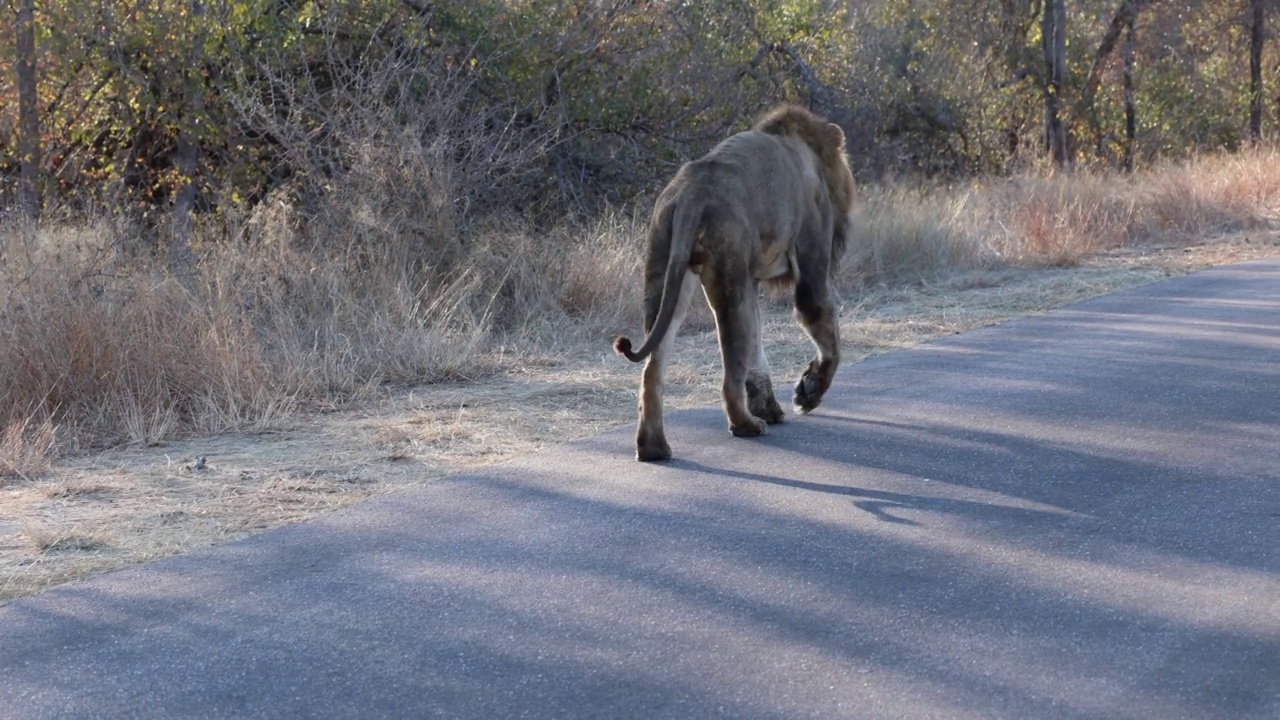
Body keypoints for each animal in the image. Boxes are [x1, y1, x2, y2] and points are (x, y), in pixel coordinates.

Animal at [611, 104, 855, 458]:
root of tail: (693, 192)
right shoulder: (811, 257)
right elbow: (824, 331)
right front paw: (807, 393)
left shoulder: (751, 279)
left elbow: (758, 347)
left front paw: (770, 406)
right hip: (729, 280)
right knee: (729, 375)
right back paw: (746, 426)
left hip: (664, 274)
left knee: (653, 369)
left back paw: (653, 448)